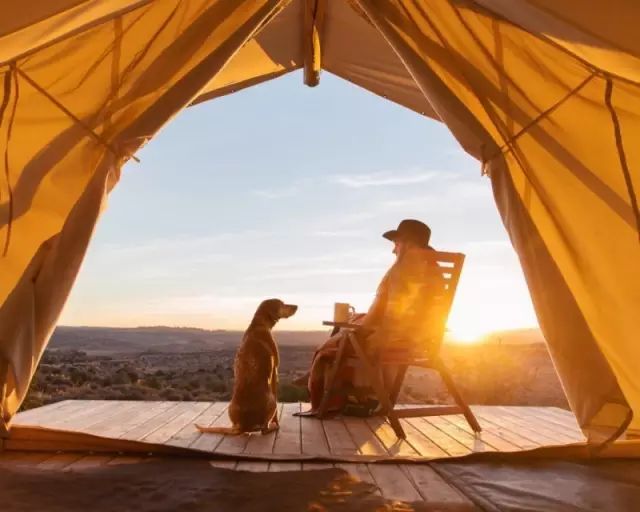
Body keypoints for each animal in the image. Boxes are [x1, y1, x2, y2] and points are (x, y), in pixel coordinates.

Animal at [195, 298, 298, 434]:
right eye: (282, 304)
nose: (296, 306)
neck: (258, 324)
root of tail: (243, 426)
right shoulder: (275, 371)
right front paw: (276, 422)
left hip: (231, 407)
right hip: (271, 402)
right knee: (264, 428)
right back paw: (272, 427)